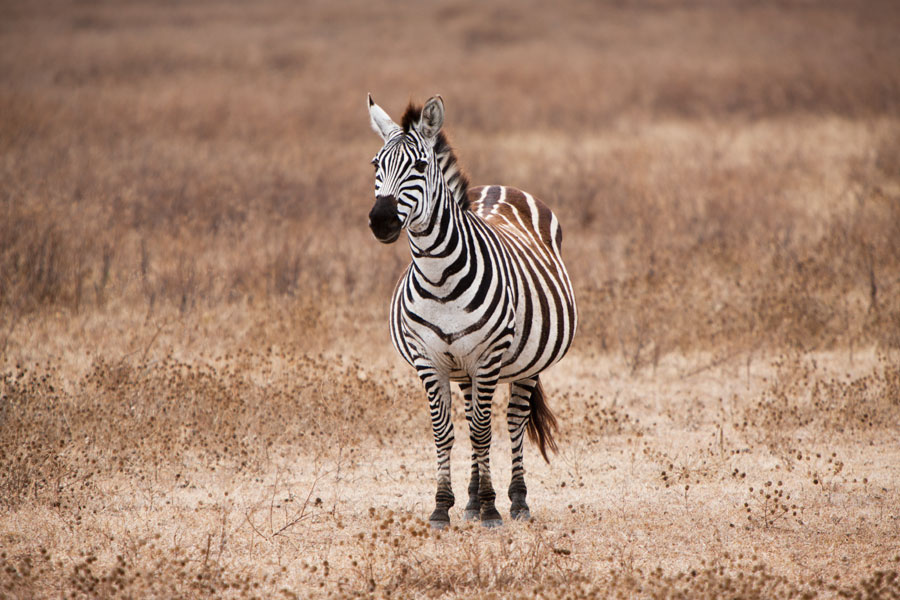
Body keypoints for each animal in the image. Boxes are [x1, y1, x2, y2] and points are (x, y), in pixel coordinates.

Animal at [366, 94, 577, 528]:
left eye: (420, 166)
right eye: (376, 164)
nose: (381, 221)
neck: (438, 276)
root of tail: (500, 186)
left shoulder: (488, 355)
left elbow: (483, 432)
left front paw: (493, 507)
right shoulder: (429, 358)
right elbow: (444, 431)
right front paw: (442, 505)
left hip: (524, 363)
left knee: (512, 420)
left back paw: (515, 500)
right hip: (463, 368)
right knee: (471, 418)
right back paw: (471, 500)